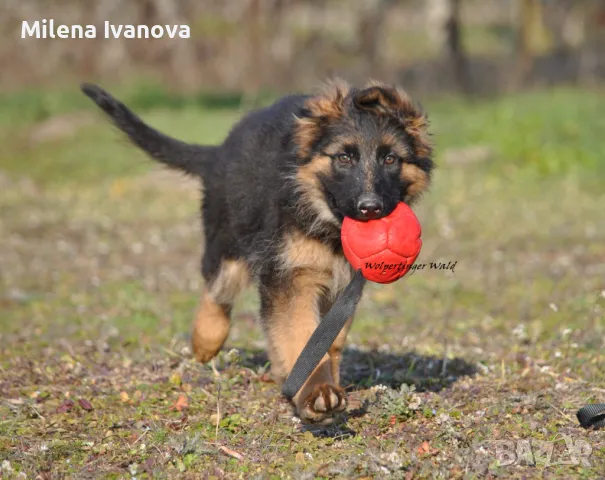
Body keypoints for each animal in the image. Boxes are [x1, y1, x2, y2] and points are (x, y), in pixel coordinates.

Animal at [81, 79, 434, 424]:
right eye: (344, 158)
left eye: (390, 159)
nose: (370, 208)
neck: (325, 222)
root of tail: (221, 152)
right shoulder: (289, 279)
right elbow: (302, 336)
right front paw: (315, 391)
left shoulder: (343, 286)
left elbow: (329, 339)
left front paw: (322, 383)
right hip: (230, 239)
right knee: (217, 287)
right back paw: (206, 339)